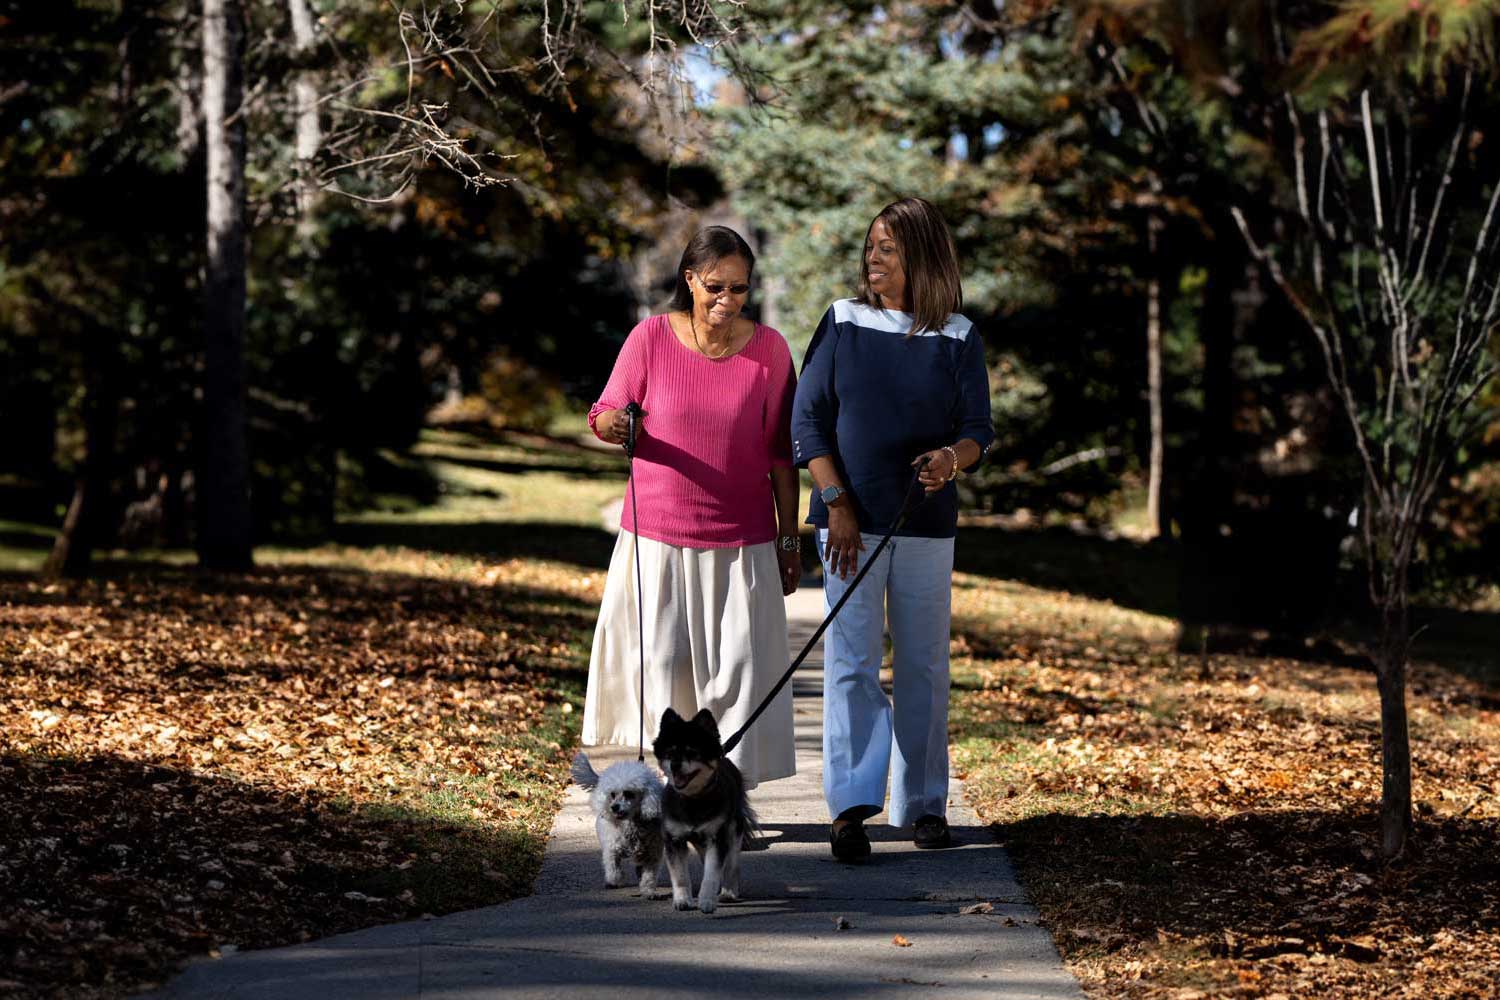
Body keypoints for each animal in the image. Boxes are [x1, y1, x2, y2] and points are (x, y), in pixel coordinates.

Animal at [651, 707, 756, 911]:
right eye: (670, 753)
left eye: (692, 753)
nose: (675, 765)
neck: (692, 800)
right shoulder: (674, 840)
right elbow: (680, 875)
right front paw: (682, 900)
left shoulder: (717, 837)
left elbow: (712, 873)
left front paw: (706, 900)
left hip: (734, 829)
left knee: (731, 864)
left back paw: (729, 892)